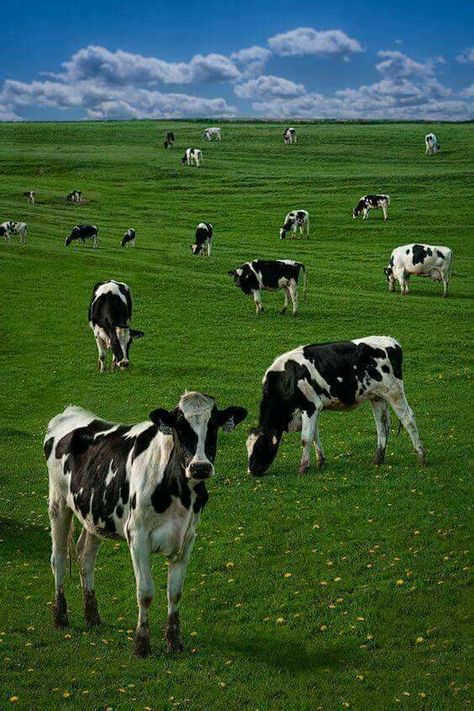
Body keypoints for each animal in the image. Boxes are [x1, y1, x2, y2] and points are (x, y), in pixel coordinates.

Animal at [44, 394, 248, 656]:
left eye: (213, 425)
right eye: (179, 427)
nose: (200, 467)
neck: (179, 492)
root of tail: (71, 411)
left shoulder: (188, 537)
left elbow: (175, 593)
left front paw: (175, 641)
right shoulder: (138, 536)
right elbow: (145, 593)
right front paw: (142, 644)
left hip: (94, 515)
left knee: (85, 557)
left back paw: (92, 617)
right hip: (58, 503)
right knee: (58, 557)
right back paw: (60, 617)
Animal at [248, 336, 426, 478]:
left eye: (258, 448)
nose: (251, 472)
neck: (288, 378)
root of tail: (392, 342)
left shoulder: (310, 407)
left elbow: (305, 439)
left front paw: (303, 468)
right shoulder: (313, 410)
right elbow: (314, 436)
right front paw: (320, 462)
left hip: (394, 392)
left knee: (408, 419)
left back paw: (421, 457)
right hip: (377, 396)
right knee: (382, 425)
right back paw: (378, 459)